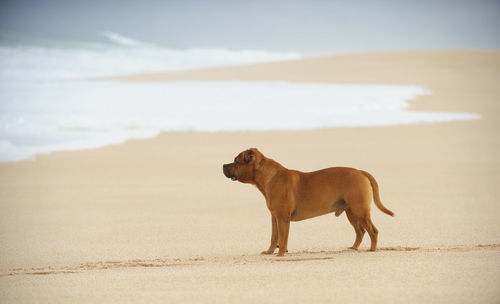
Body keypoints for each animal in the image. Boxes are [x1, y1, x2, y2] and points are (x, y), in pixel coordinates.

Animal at [224, 148, 394, 255]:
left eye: (235, 161)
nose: (223, 165)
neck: (269, 177)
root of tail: (361, 172)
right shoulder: (275, 218)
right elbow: (274, 237)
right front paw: (270, 252)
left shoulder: (283, 219)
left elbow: (283, 238)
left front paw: (280, 255)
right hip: (351, 212)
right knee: (360, 231)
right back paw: (353, 248)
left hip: (360, 211)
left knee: (373, 230)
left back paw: (372, 250)